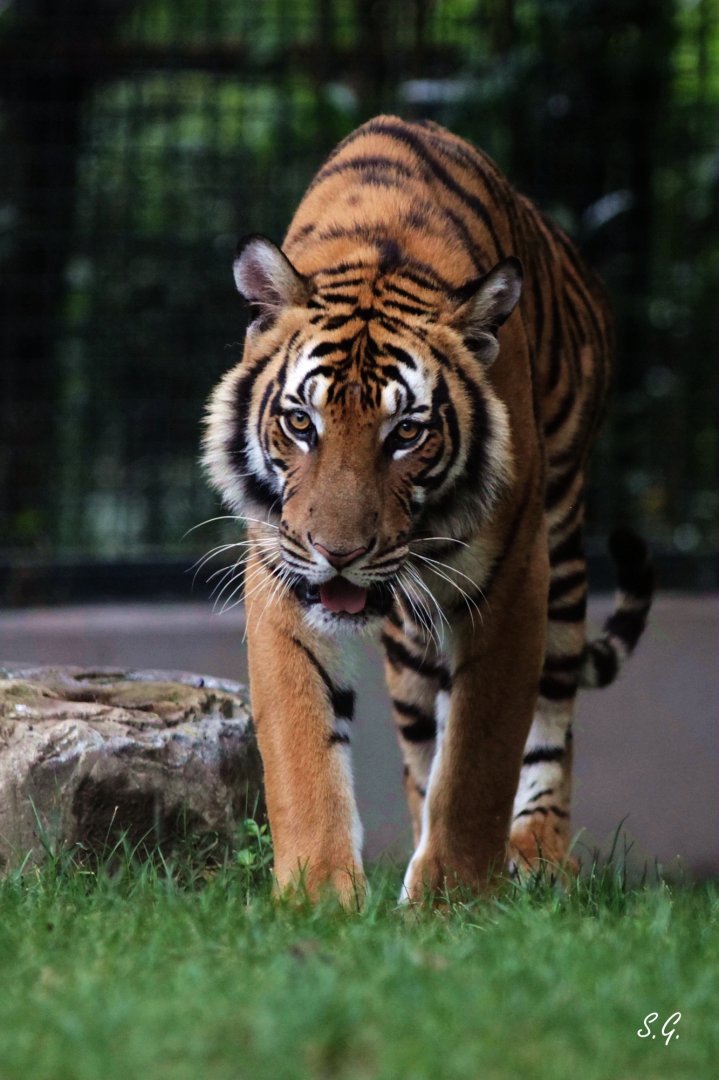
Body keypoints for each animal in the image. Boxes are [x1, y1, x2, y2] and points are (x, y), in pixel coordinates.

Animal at [202, 115, 653, 906]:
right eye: (301, 423)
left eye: (406, 433)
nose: (338, 553)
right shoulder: (279, 570)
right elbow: (302, 744)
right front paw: (320, 897)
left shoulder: (513, 581)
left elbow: (477, 759)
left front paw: (450, 902)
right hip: (410, 637)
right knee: (420, 746)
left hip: (563, 548)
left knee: (552, 715)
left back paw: (538, 852)